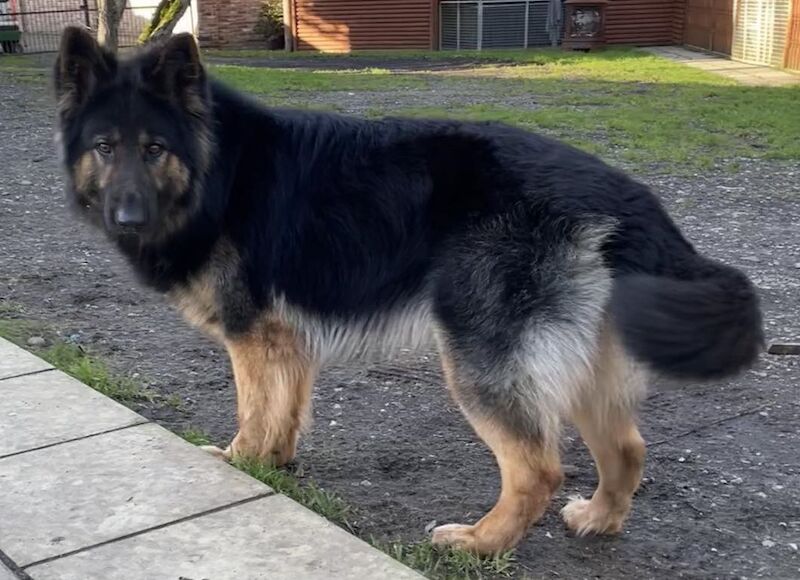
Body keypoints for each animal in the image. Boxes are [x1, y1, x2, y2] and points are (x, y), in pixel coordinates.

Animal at [54, 29, 764, 556]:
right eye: (104, 146)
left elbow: (253, 412)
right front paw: (271, 466)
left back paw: (480, 542)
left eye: (154, 148)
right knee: (626, 448)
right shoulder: (286, 340)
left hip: (480, 361)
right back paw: (598, 520)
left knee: (536, 467)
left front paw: (235, 462)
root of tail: (624, 194)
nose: (126, 217)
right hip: (581, 367)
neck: (217, 170)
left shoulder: (251, 337)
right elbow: (285, 412)